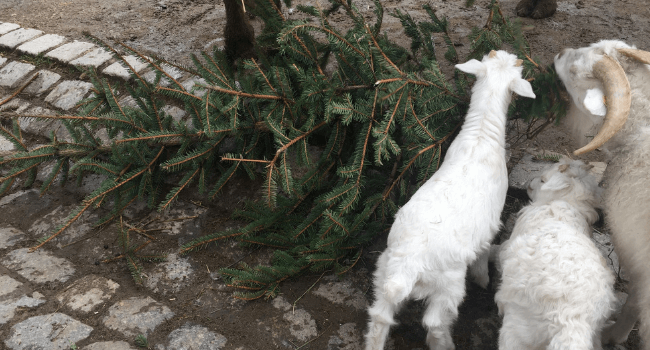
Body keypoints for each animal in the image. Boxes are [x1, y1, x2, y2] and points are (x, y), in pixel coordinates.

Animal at [362, 50, 536, 350]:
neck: (481, 134)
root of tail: (409, 265)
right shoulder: (490, 226)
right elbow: (482, 257)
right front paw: (483, 279)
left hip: (383, 269)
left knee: (380, 316)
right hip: (447, 284)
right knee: (434, 323)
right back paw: (446, 344)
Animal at [496, 159, 612, 350]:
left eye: (543, 180)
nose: (530, 183)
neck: (566, 202)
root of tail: (571, 320)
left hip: (518, 330)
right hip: (594, 337)